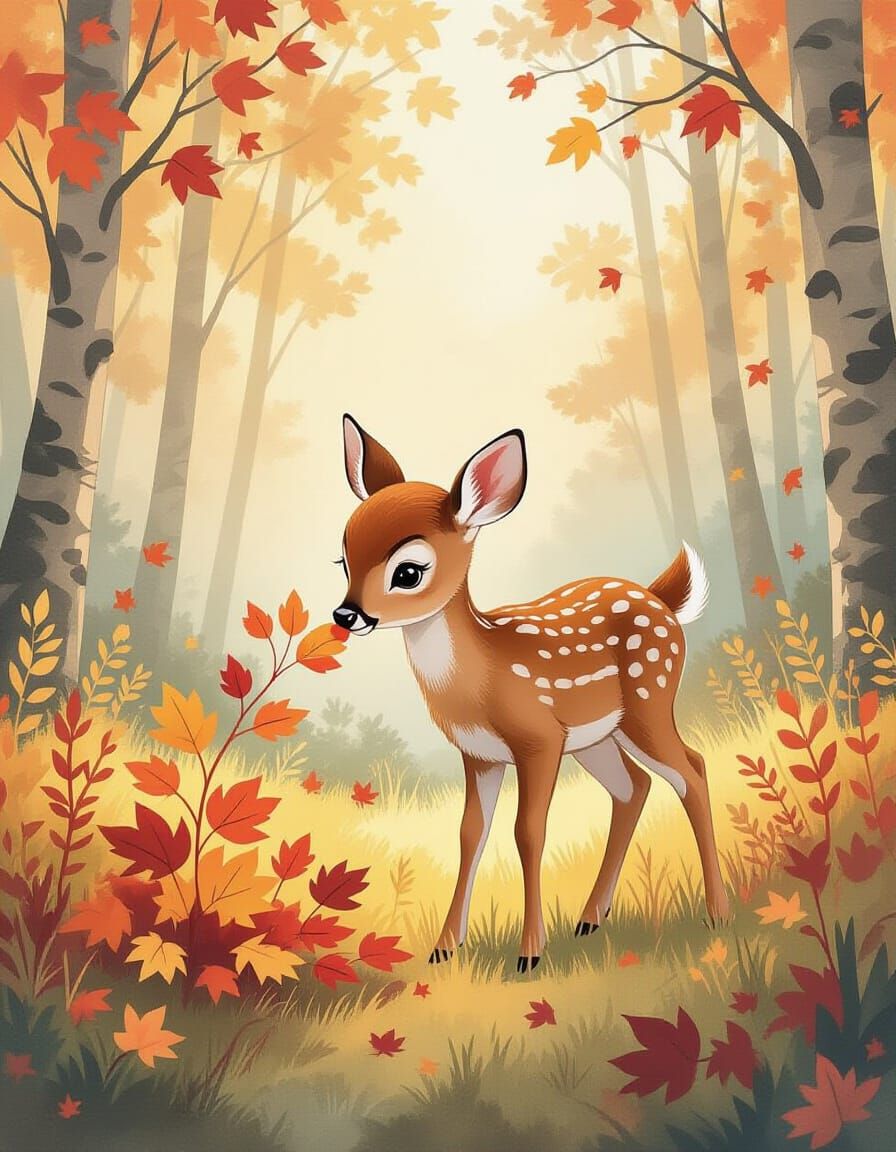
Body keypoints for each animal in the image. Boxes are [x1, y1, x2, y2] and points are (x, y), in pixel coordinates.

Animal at [333, 415, 730, 973]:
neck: (481, 676)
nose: (346, 615)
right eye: (343, 559)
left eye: (408, 572)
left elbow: (529, 832)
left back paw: (717, 913)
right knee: (633, 788)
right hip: (596, 737)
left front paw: (529, 953)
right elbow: (470, 835)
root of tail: (661, 598)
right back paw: (590, 918)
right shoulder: (479, 753)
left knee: (692, 770)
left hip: (648, 701)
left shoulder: (538, 739)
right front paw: (444, 948)